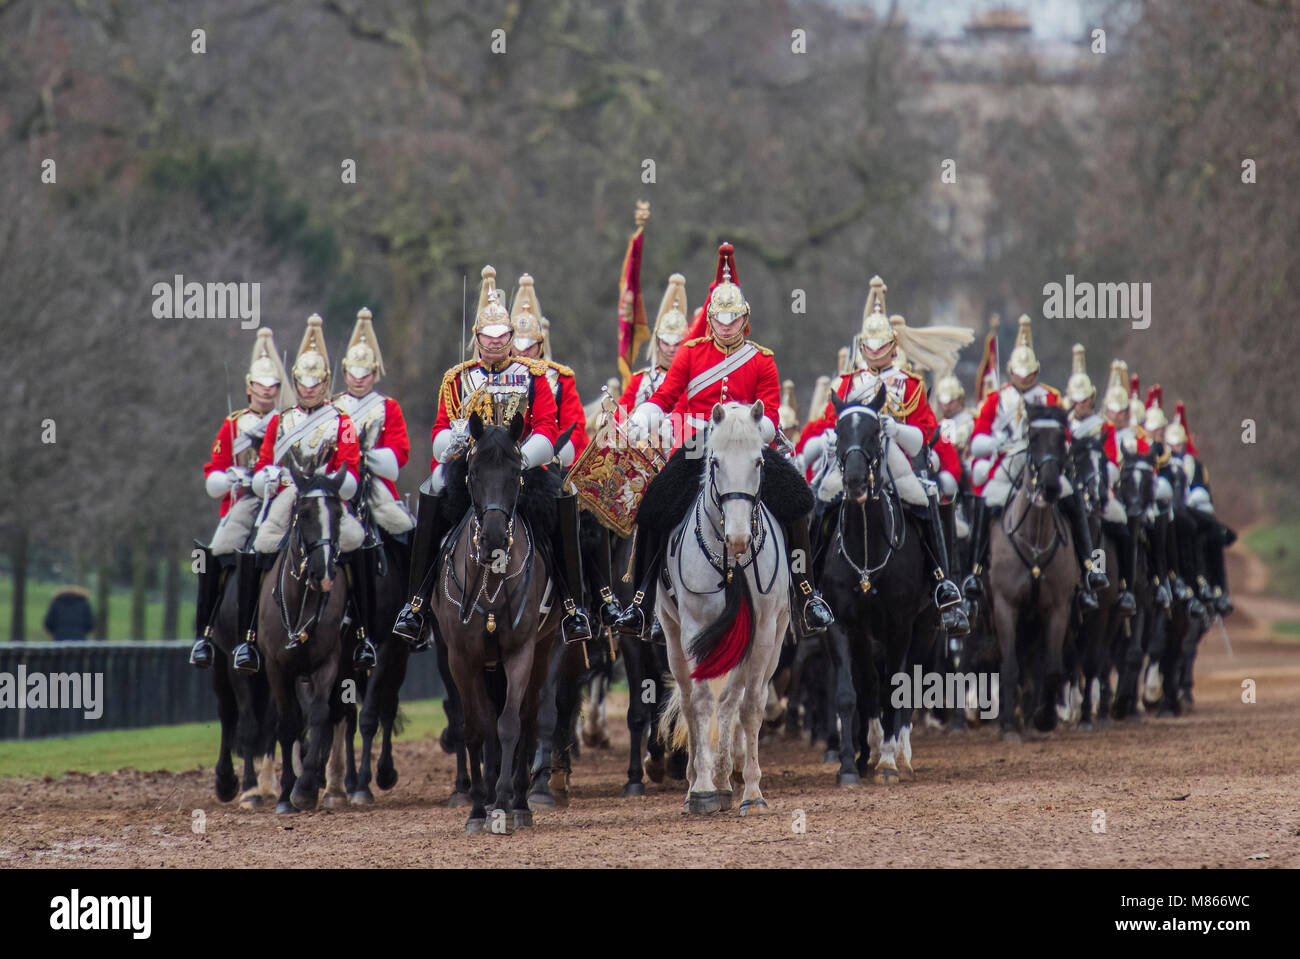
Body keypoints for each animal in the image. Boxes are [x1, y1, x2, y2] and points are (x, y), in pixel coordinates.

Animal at [660, 402, 790, 816]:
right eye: (715, 461)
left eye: (759, 461)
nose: (737, 539)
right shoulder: (694, 629)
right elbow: (701, 703)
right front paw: (701, 788)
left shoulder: (762, 631)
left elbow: (749, 706)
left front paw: (752, 792)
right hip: (672, 637)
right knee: (690, 700)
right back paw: (699, 780)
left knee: (737, 699)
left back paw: (725, 776)